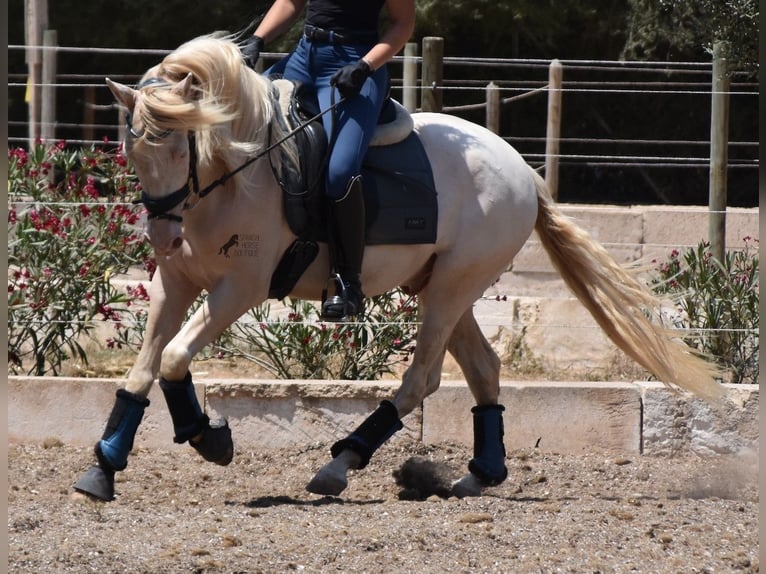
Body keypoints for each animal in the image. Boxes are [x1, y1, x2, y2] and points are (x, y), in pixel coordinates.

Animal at [73, 33, 728, 504]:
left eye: (181, 143)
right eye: (132, 149)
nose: (164, 234)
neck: (234, 175)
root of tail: (521, 168)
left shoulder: (241, 287)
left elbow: (175, 359)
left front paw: (210, 438)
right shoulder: (177, 283)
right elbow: (142, 370)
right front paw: (103, 467)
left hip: (452, 287)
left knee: (421, 381)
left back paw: (339, 466)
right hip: (442, 286)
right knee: (483, 370)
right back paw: (478, 476)